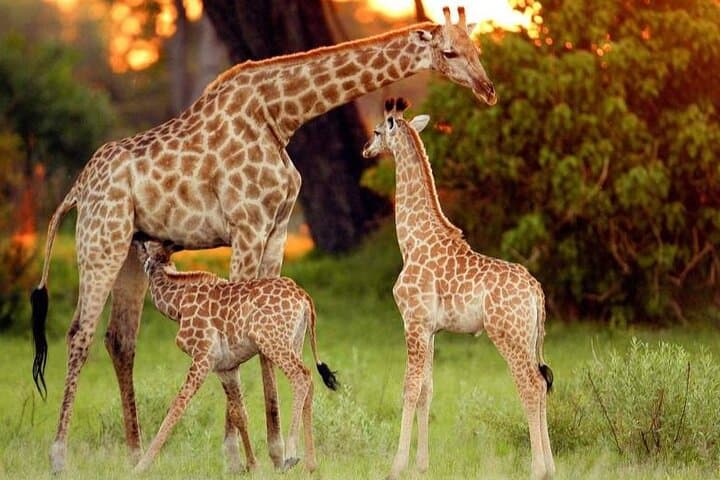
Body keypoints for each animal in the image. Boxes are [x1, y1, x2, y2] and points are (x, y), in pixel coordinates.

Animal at [131, 239, 338, 473]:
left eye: (145, 244)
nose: (135, 241)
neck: (178, 305)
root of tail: (305, 298)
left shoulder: (203, 356)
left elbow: (178, 404)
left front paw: (140, 467)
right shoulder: (225, 367)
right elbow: (239, 414)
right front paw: (253, 466)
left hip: (272, 340)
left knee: (301, 376)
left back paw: (292, 454)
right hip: (294, 341)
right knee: (309, 381)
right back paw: (311, 464)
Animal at [362, 98, 555, 480]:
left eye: (377, 131)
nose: (365, 149)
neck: (412, 241)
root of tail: (536, 292)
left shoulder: (413, 322)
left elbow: (408, 389)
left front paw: (397, 465)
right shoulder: (431, 329)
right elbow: (427, 390)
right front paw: (422, 464)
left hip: (507, 334)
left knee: (530, 384)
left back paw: (537, 468)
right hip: (530, 337)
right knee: (542, 383)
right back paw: (552, 466)